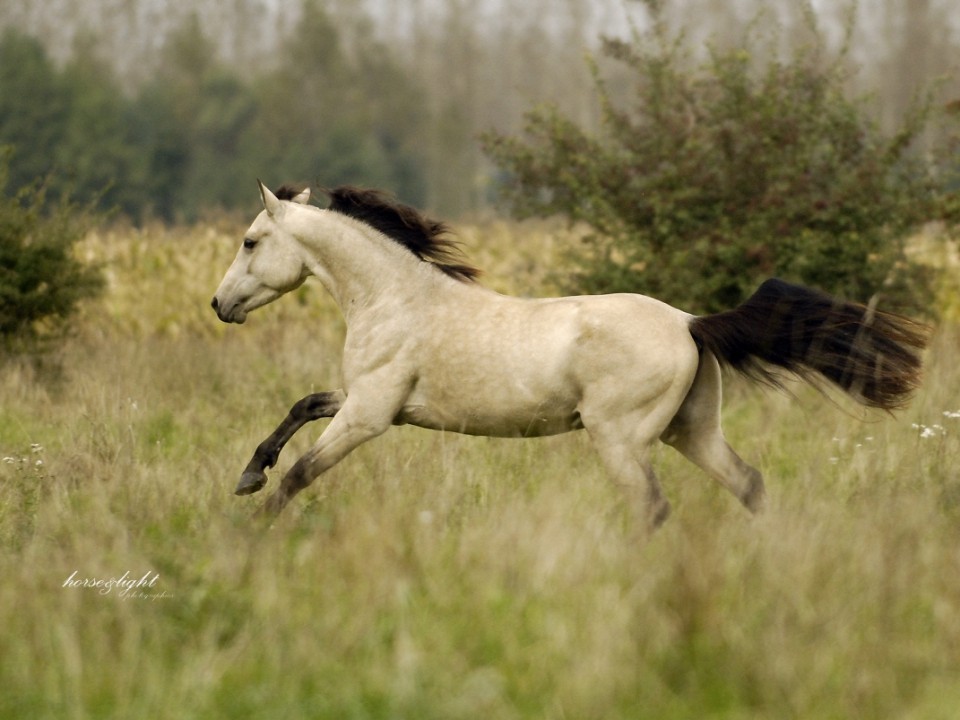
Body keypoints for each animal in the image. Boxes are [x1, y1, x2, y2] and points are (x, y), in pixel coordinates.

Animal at [212, 180, 928, 528]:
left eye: (249, 241)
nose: (219, 305)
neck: (394, 297)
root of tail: (690, 323)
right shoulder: (368, 400)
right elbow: (302, 404)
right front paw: (248, 477)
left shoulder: (370, 414)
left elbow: (305, 472)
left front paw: (252, 531)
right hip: (690, 431)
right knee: (748, 483)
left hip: (619, 438)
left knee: (653, 506)